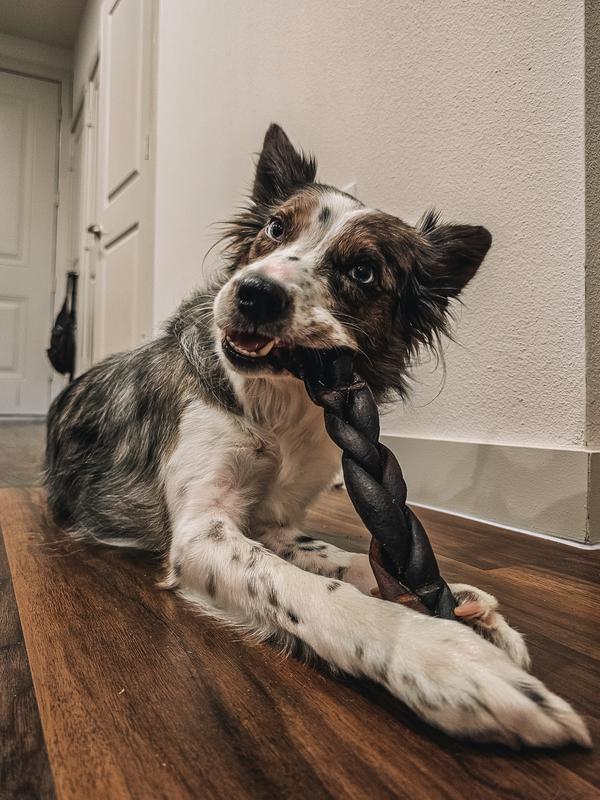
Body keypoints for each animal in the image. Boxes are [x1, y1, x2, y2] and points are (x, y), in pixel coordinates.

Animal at [47, 122, 592, 748]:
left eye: (363, 272)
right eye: (276, 228)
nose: (254, 293)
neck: (277, 403)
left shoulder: (273, 523)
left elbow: (339, 557)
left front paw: (458, 602)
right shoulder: (202, 531)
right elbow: (310, 593)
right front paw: (441, 655)